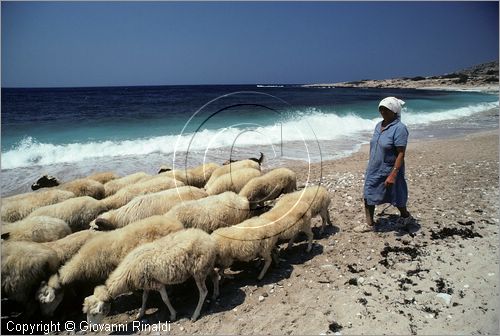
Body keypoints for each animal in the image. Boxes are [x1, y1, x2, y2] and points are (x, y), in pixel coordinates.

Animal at [83, 228, 218, 322]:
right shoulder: (146, 283)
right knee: (216, 276)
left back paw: (195, 315)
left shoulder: (157, 284)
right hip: (206, 266)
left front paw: (173, 314)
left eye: (95, 313)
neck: (128, 271)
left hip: (199, 271)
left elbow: (164, 299)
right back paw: (216, 294)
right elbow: (144, 298)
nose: (92, 329)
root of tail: (208, 238)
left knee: (203, 292)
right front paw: (141, 313)